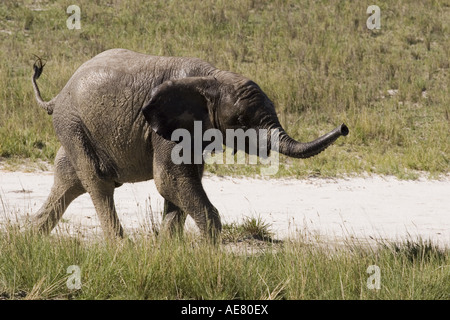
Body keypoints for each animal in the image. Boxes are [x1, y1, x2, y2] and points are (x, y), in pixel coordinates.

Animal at [30, 48, 348, 241]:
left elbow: (177, 185)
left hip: (75, 129)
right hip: (73, 124)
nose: (344, 127)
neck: (212, 77)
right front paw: (208, 256)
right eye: (242, 120)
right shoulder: (164, 130)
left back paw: (29, 239)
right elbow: (170, 180)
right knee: (98, 182)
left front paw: (168, 253)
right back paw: (120, 248)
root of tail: (57, 96)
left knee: (68, 180)